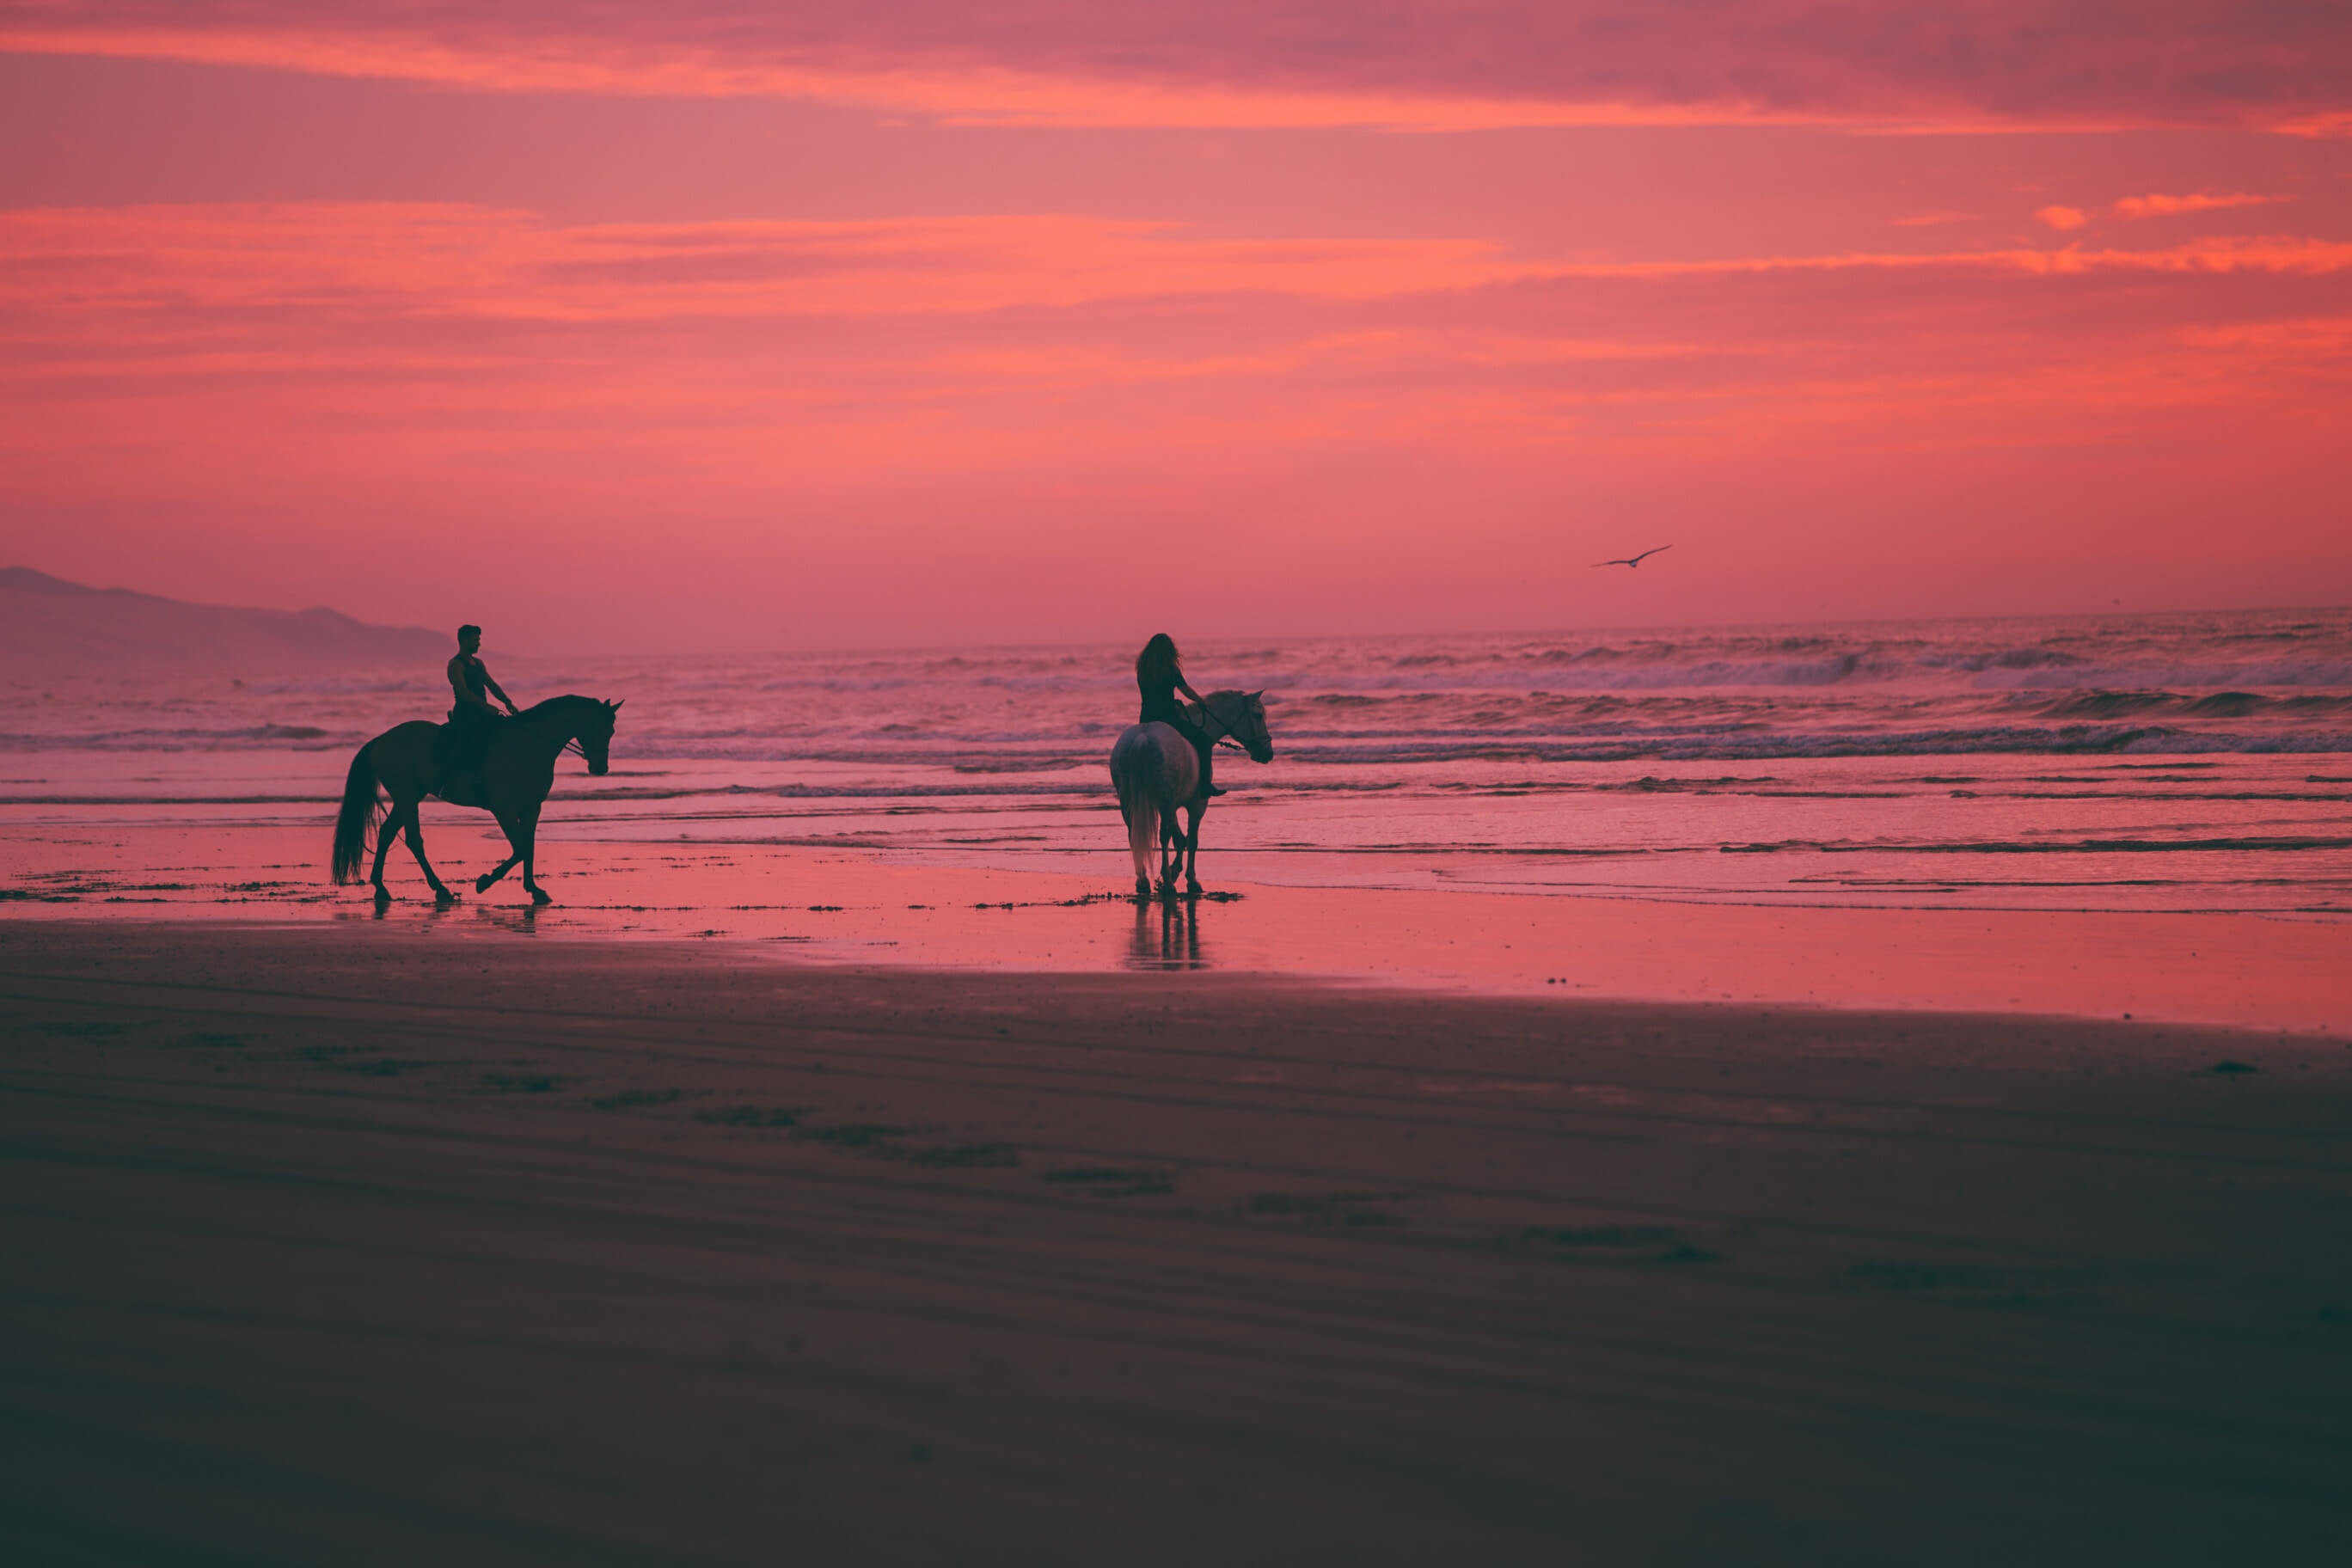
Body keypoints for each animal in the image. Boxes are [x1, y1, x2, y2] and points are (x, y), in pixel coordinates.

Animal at [336, 700, 625, 907]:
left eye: (611, 731)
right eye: (598, 728)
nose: (600, 768)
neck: (529, 745)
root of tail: (381, 740)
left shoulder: (532, 807)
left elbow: (528, 848)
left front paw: (534, 890)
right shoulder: (502, 808)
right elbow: (520, 848)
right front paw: (484, 882)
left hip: (409, 797)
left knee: (387, 834)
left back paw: (381, 888)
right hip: (407, 797)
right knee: (413, 840)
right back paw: (441, 889)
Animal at [1110, 690, 1279, 903]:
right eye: (1258, 715)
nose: (1267, 753)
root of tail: (1143, 738)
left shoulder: (1171, 806)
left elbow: (1180, 838)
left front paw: (1174, 871)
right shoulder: (1196, 805)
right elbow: (1191, 840)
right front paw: (1189, 879)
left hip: (1129, 801)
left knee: (1134, 834)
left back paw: (1144, 881)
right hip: (1165, 801)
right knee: (1163, 836)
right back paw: (1167, 884)